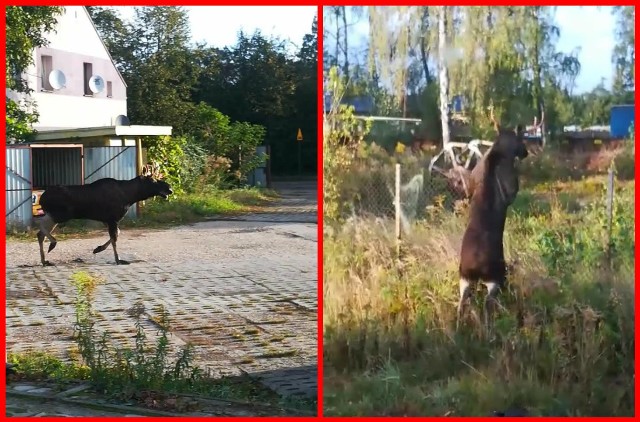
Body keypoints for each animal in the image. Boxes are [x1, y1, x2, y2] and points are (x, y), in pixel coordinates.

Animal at [35, 163, 172, 266]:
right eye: (152, 180)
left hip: (56, 216)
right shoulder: (112, 218)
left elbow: (117, 234)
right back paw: (52, 244)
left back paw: (44, 260)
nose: (169, 188)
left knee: (40, 234)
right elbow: (115, 238)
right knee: (39, 223)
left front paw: (98, 249)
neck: (130, 196)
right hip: (61, 214)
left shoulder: (106, 219)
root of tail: (42, 198)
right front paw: (118, 259)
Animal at [456, 109, 544, 330]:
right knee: (488, 305)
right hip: (495, 276)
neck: (498, 153)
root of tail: (476, 267)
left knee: (461, 305)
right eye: (521, 139)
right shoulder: (511, 187)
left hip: (464, 277)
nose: (525, 152)